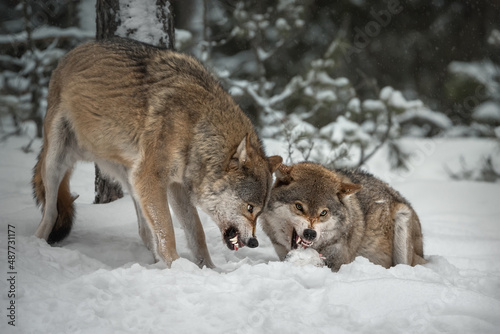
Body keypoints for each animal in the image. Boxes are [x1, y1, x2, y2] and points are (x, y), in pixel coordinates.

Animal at [31, 37, 282, 268]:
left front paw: (209, 270)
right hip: (56, 161)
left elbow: (196, 233)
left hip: (131, 179)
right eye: (250, 208)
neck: (195, 128)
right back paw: (38, 245)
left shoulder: (176, 186)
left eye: (260, 213)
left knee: (144, 231)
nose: (254, 243)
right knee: (51, 213)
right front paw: (178, 267)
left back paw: (153, 264)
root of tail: (72, 51)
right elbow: (167, 233)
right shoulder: (151, 177)